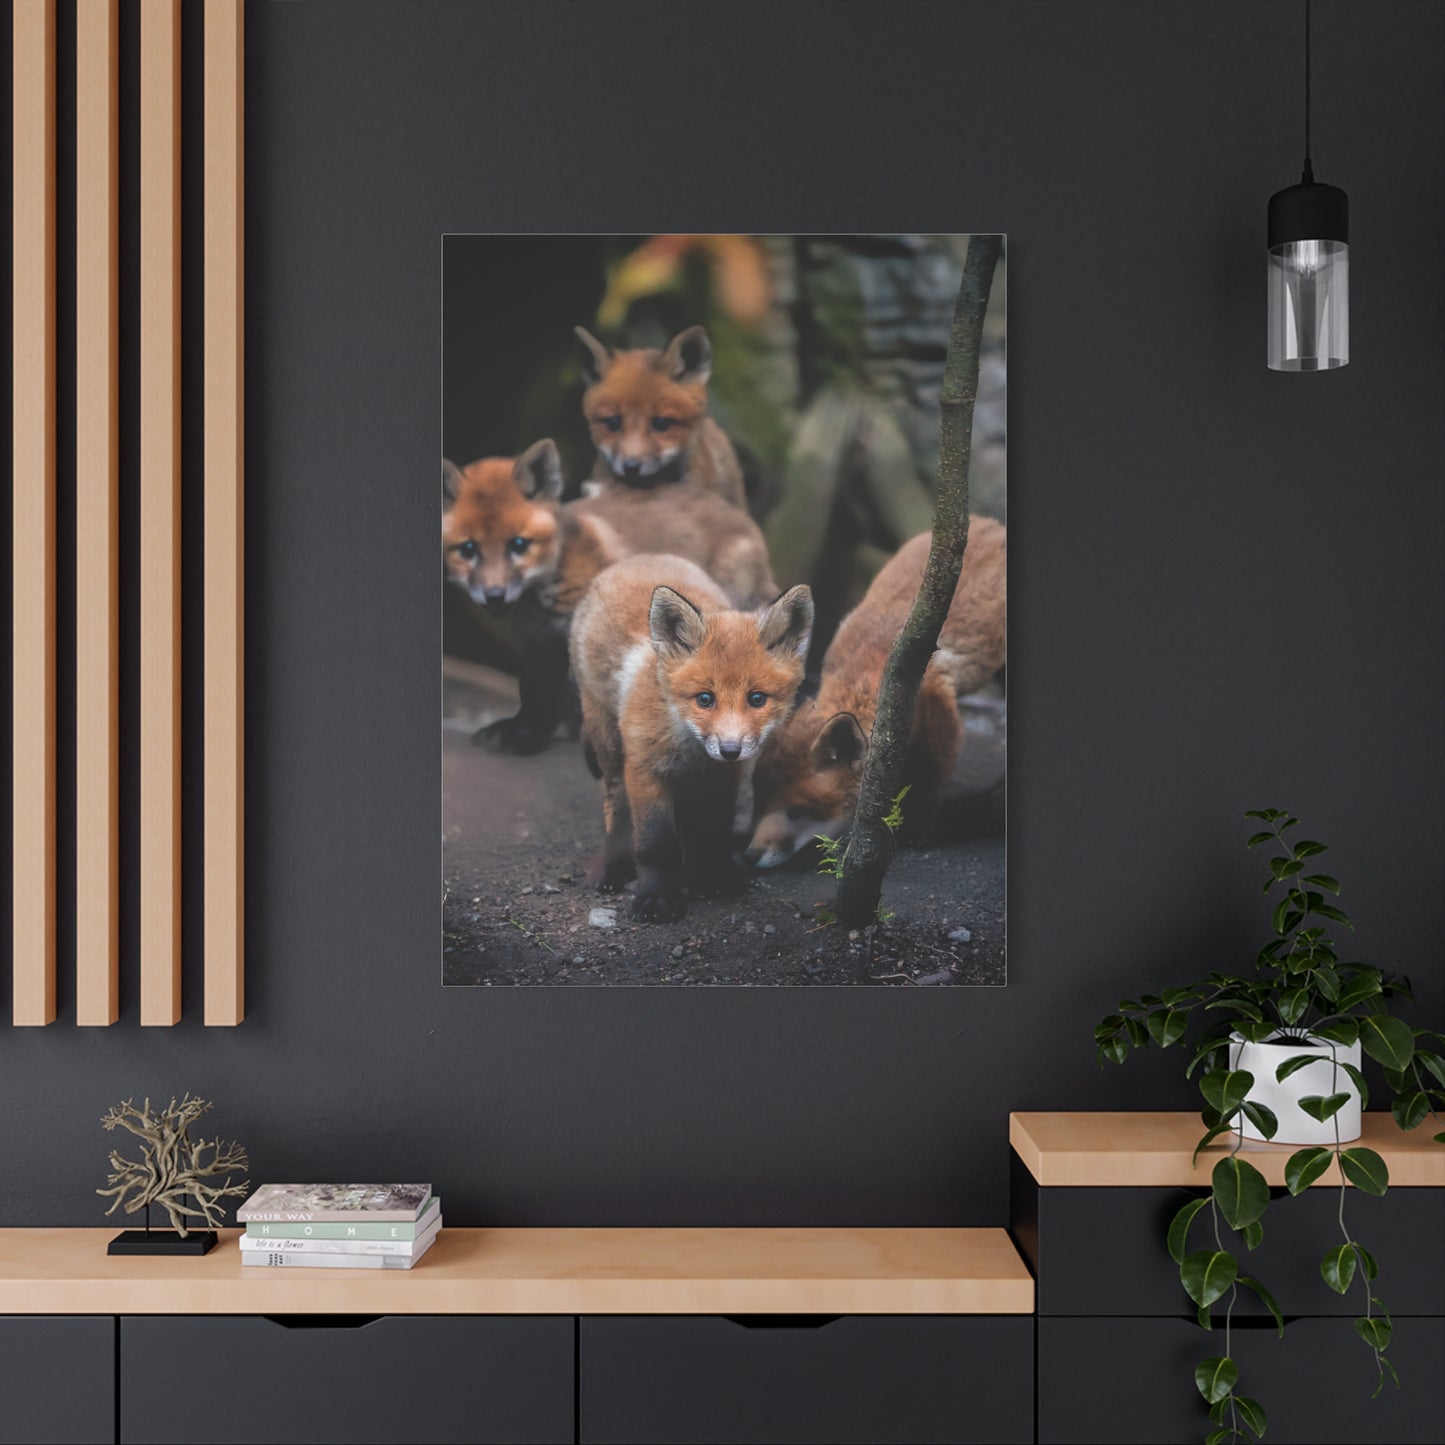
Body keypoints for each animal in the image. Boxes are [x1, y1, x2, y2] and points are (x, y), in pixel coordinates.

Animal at [442, 440, 777, 754]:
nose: (494, 596)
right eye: (468, 549)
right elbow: (534, 690)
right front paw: (526, 731)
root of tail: (741, 517)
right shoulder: (541, 640)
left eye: (518, 545)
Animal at [570, 554, 813, 921]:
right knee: (616, 805)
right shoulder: (646, 769)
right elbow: (656, 845)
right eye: (705, 699)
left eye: (757, 699)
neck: (692, 749)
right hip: (609, 744)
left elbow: (711, 832)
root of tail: (641, 557)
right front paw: (657, 896)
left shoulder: (722, 778)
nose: (730, 749)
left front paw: (712, 877)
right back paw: (614, 866)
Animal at [744, 519, 1006, 870]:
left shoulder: (938, 710)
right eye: (759, 801)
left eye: (797, 812)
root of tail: (989, 522)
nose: (750, 856)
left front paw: (912, 833)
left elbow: (927, 779)